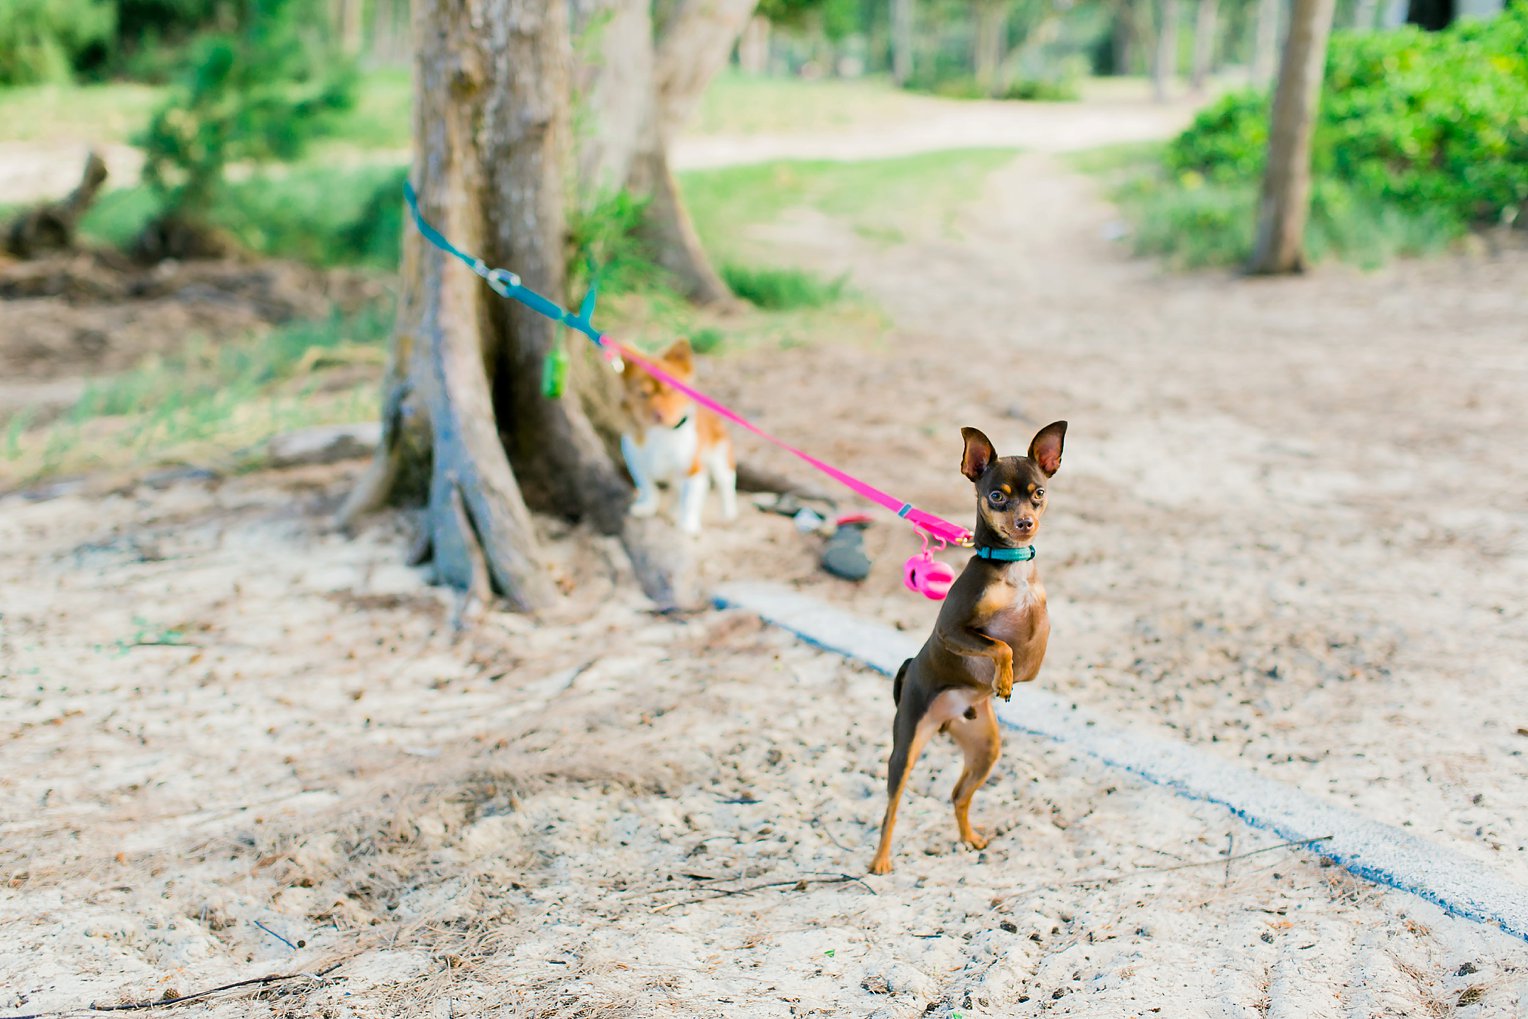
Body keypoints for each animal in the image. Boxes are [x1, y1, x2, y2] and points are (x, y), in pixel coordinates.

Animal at [867, 421, 1069, 879]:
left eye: (1039, 492)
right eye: (996, 496)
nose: (1025, 523)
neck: (1011, 565)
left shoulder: (1038, 619)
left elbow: (1037, 629)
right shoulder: (951, 630)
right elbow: (1000, 645)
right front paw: (1004, 680)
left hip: (984, 748)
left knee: (959, 794)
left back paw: (969, 837)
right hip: (906, 745)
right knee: (892, 807)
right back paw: (881, 860)